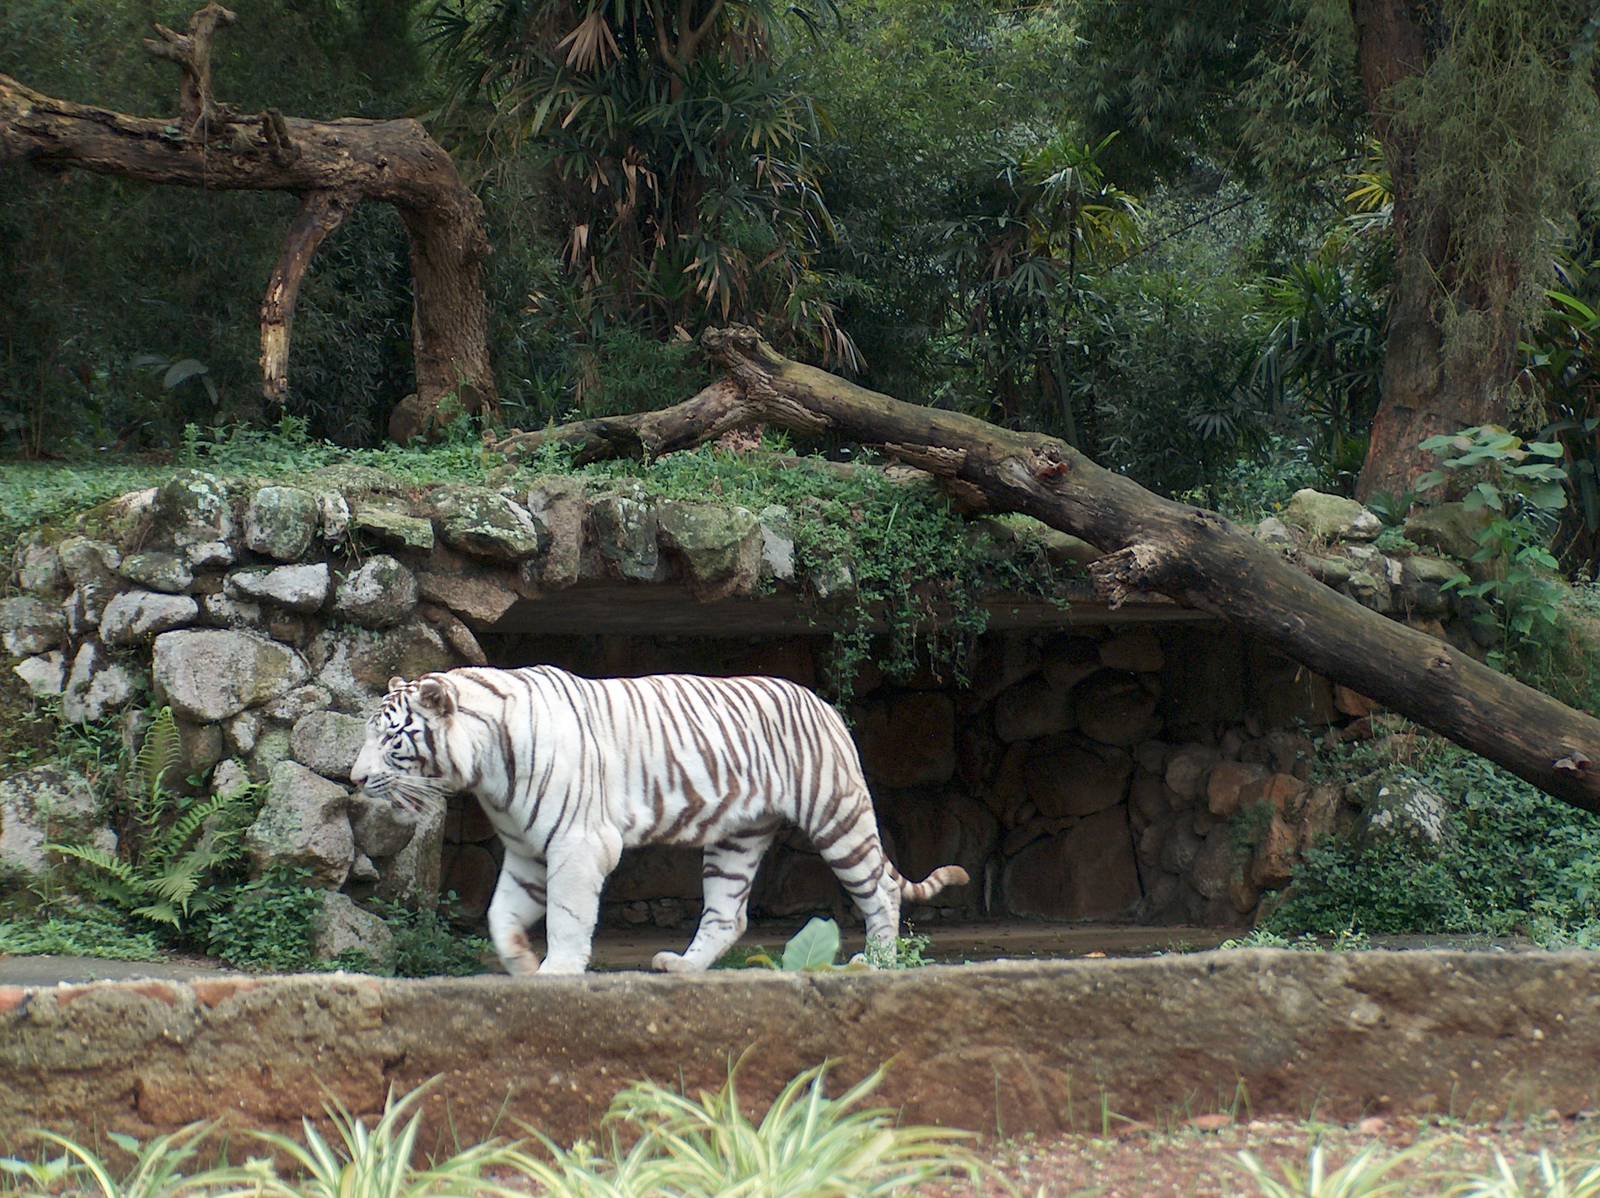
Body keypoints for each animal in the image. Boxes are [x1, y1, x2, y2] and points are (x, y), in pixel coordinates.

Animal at [349, 665, 970, 975]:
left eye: (391, 738)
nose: (353, 779)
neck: (484, 768)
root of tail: (823, 703)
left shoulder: (577, 844)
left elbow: (568, 917)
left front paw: (557, 970)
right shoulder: (527, 852)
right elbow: (501, 915)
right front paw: (521, 963)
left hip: (836, 815)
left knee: (880, 888)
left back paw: (879, 960)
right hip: (737, 840)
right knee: (727, 916)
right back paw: (683, 968)